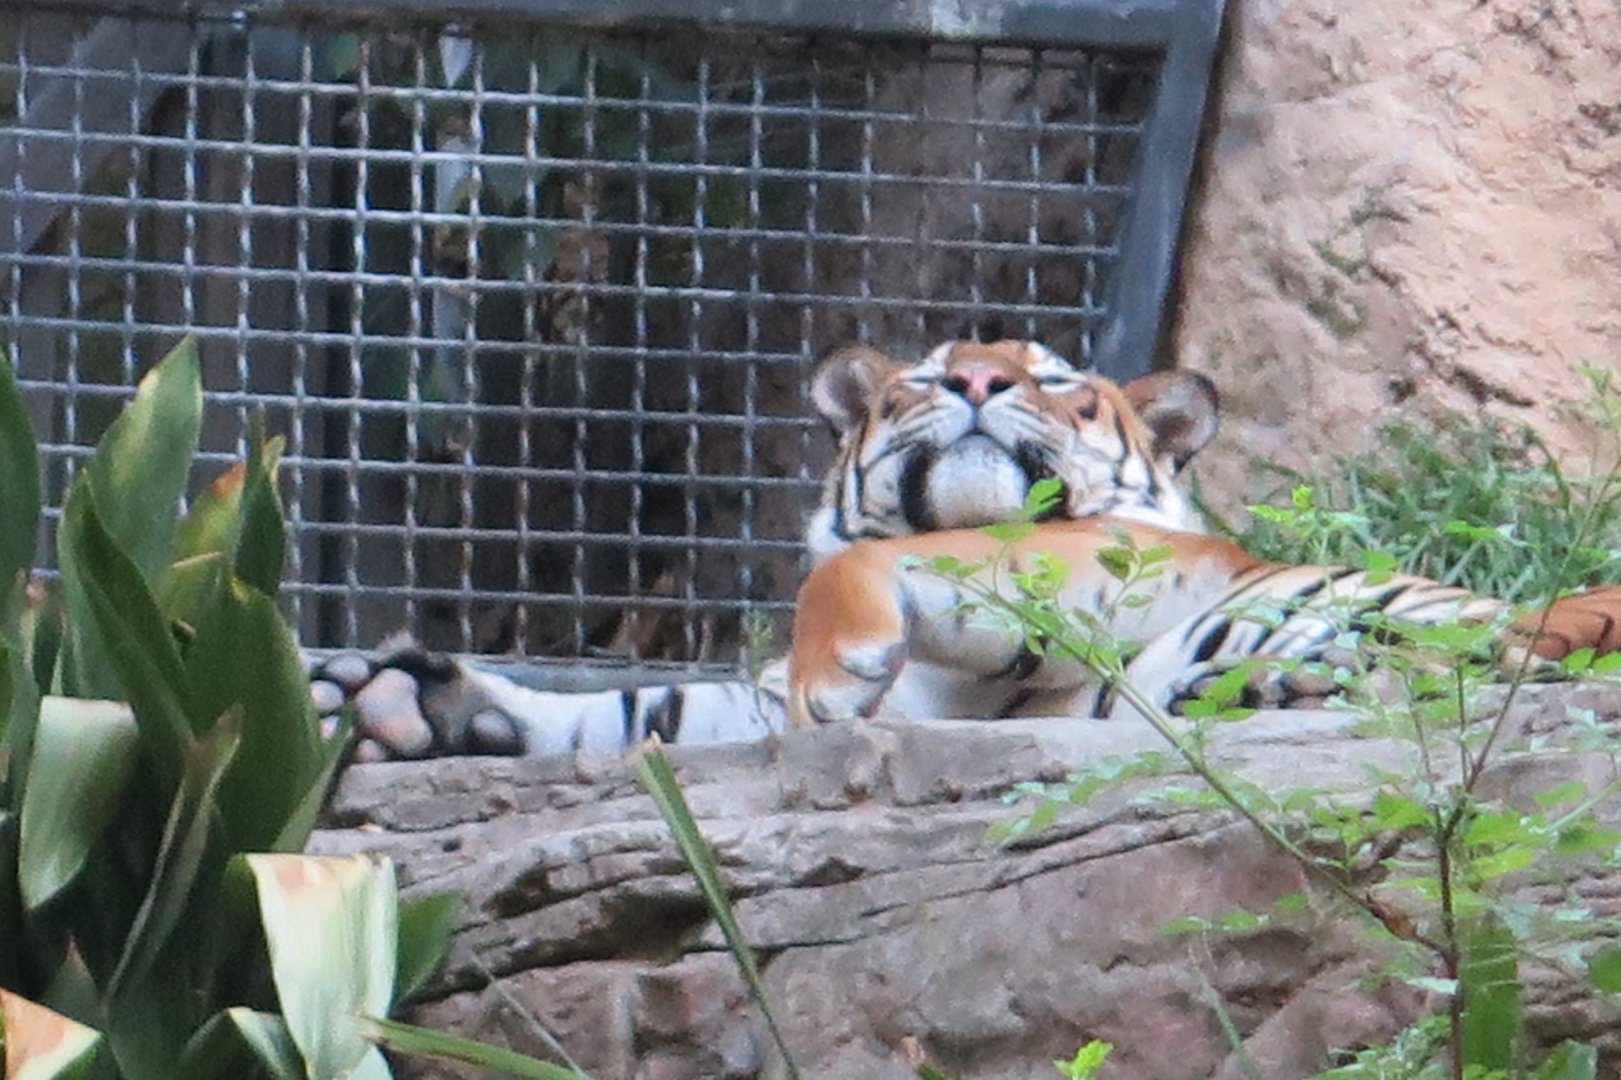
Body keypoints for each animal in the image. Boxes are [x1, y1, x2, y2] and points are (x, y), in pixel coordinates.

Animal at [317, 339, 1224, 759]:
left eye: (1057, 381)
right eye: (925, 379)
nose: (974, 381)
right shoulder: (753, 707)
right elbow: (638, 712)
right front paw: (404, 701)